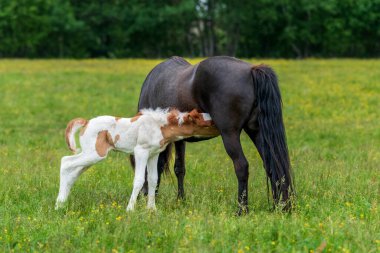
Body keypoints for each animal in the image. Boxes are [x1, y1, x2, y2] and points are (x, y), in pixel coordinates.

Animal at [55, 107, 218, 211]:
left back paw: (62, 203)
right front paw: (130, 209)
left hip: (91, 156)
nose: (218, 127)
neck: (159, 127)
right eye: (206, 123)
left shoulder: (153, 154)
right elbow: (139, 180)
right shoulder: (141, 151)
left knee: (73, 172)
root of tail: (86, 123)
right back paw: (58, 205)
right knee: (66, 162)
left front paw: (152, 209)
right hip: (95, 153)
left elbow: (153, 179)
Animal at [137, 55, 294, 213]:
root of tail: (251, 70)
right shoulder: (179, 138)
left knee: (242, 167)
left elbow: (159, 166)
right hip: (257, 132)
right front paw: (180, 200)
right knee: (273, 165)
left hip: (230, 135)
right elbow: (179, 168)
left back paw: (241, 210)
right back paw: (281, 207)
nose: (141, 196)